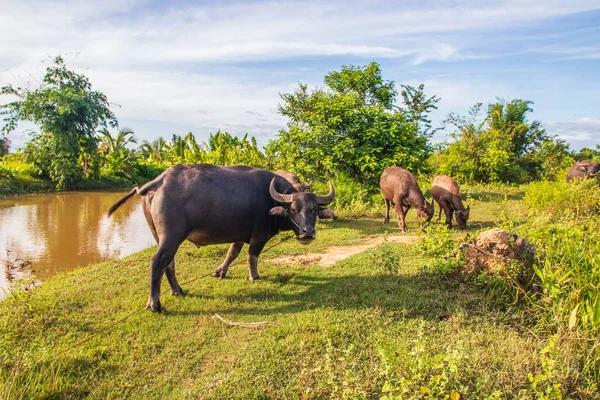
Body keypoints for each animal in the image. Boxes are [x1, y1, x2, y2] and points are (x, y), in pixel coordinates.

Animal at [105, 164, 336, 310]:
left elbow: (232, 253)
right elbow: (252, 256)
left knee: (168, 263)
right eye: (294, 209)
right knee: (157, 263)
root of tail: (160, 181)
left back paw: (177, 290)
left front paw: (220, 272)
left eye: (315, 210)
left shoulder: (241, 234)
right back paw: (154, 304)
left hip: (158, 235)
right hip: (171, 237)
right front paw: (254, 276)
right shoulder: (259, 235)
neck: (272, 201)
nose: (307, 233)